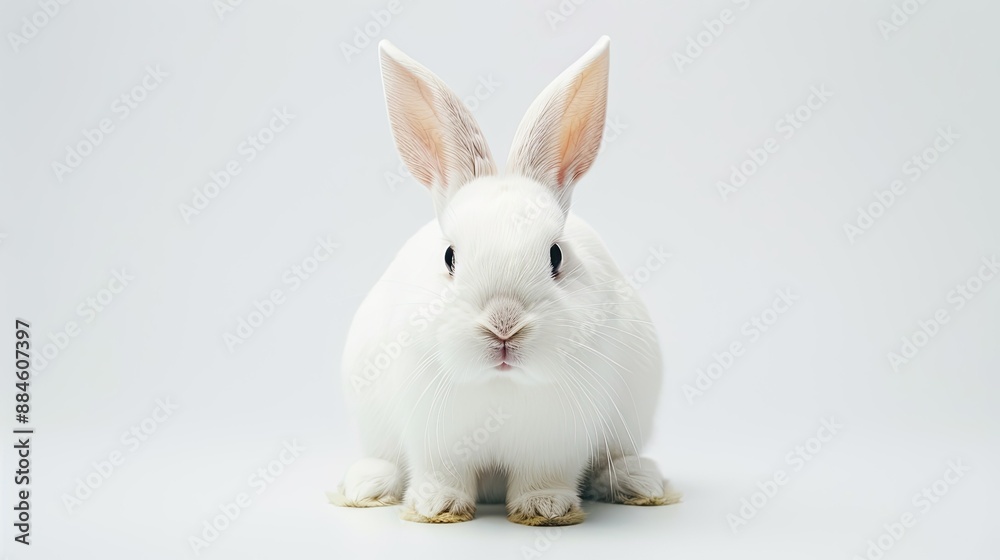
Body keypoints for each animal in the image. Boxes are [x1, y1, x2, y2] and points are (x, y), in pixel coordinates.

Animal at [330, 36, 680, 526]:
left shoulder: (555, 445)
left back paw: (638, 481)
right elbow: (441, 473)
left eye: (555, 255)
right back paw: (366, 485)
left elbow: (544, 477)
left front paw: (546, 508)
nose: (504, 324)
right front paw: (437, 507)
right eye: (449, 256)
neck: (501, 385)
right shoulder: (434, 441)